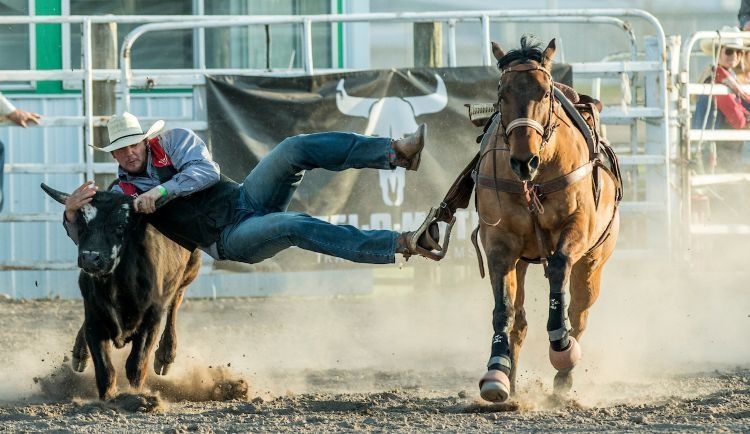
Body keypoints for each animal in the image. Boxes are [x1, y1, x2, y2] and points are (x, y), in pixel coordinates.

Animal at [473, 36, 621, 402]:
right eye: (502, 93)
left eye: (544, 93)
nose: (523, 161)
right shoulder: (500, 245)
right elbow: (504, 308)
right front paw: (496, 370)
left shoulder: (577, 228)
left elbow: (558, 268)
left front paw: (560, 344)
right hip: (521, 261)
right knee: (521, 319)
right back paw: (509, 379)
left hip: (593, 263)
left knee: (579, 312)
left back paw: (564, 377)